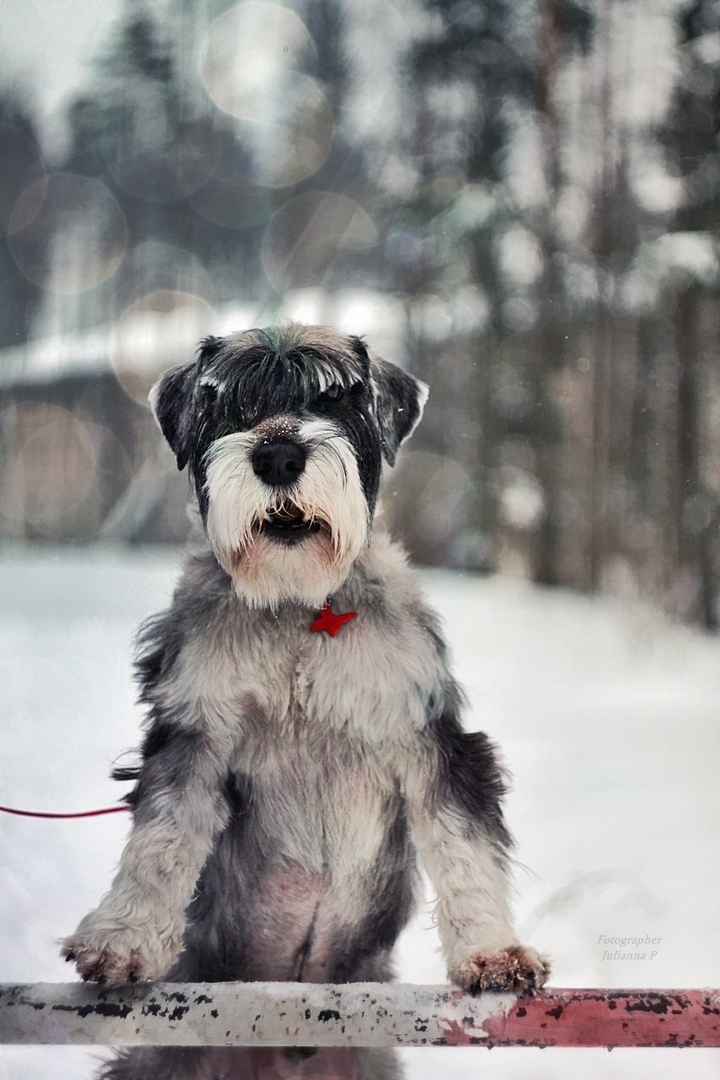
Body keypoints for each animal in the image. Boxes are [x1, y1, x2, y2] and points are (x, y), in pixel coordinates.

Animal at [63, 317, 546, 1019]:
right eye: (230, 405)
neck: (297, 608)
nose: (279, 458)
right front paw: (120, 938)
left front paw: (493, 953)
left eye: (335, 399)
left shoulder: (426, 730)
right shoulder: (194, 728)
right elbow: (161, 837)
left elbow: (463, 841)